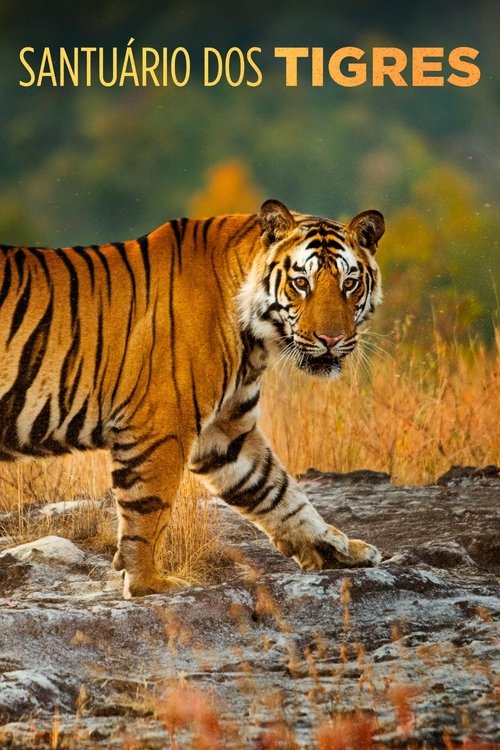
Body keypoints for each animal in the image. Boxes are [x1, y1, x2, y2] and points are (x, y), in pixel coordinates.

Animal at [0, 199, 385, 597]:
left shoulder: (226, 432)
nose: (330, 340)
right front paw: (150, 584)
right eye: (301, 283)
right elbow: (148, 510)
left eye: (350, 284)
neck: (255, 339)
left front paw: (339, 550)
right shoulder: (160, 423)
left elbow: (279, 493)